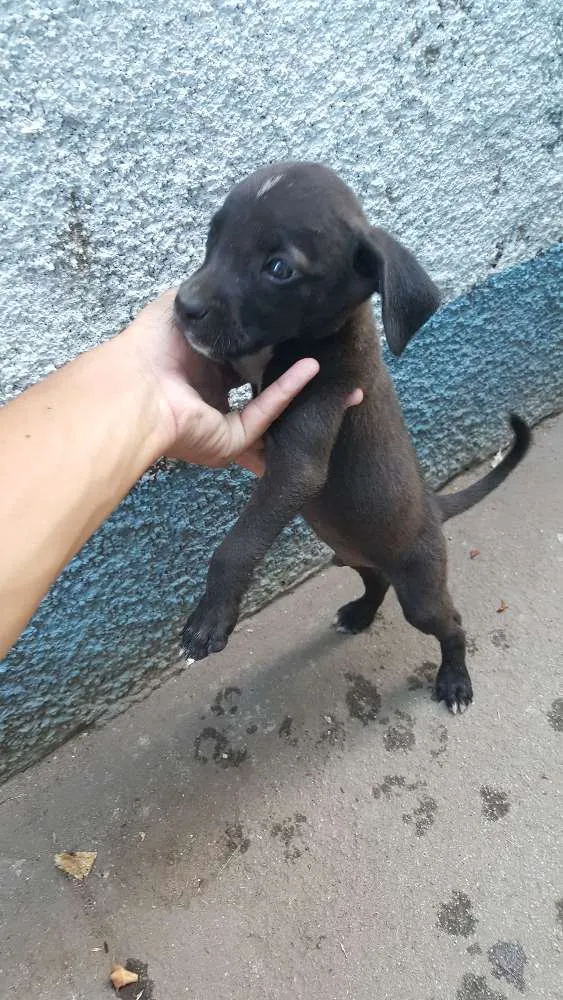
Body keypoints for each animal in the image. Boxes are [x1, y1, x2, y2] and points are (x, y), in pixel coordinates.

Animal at [174, 162, 532, 712]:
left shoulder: (305, 448)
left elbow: (238, 543)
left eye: (279, 269)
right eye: (213, 237)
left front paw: (211, 617)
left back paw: (455, 680)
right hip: (352, 552)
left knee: (450, 624)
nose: (184, 306)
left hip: (421, 588)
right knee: (375, 580)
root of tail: (433, 507)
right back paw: (360, 614)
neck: (306, 339)